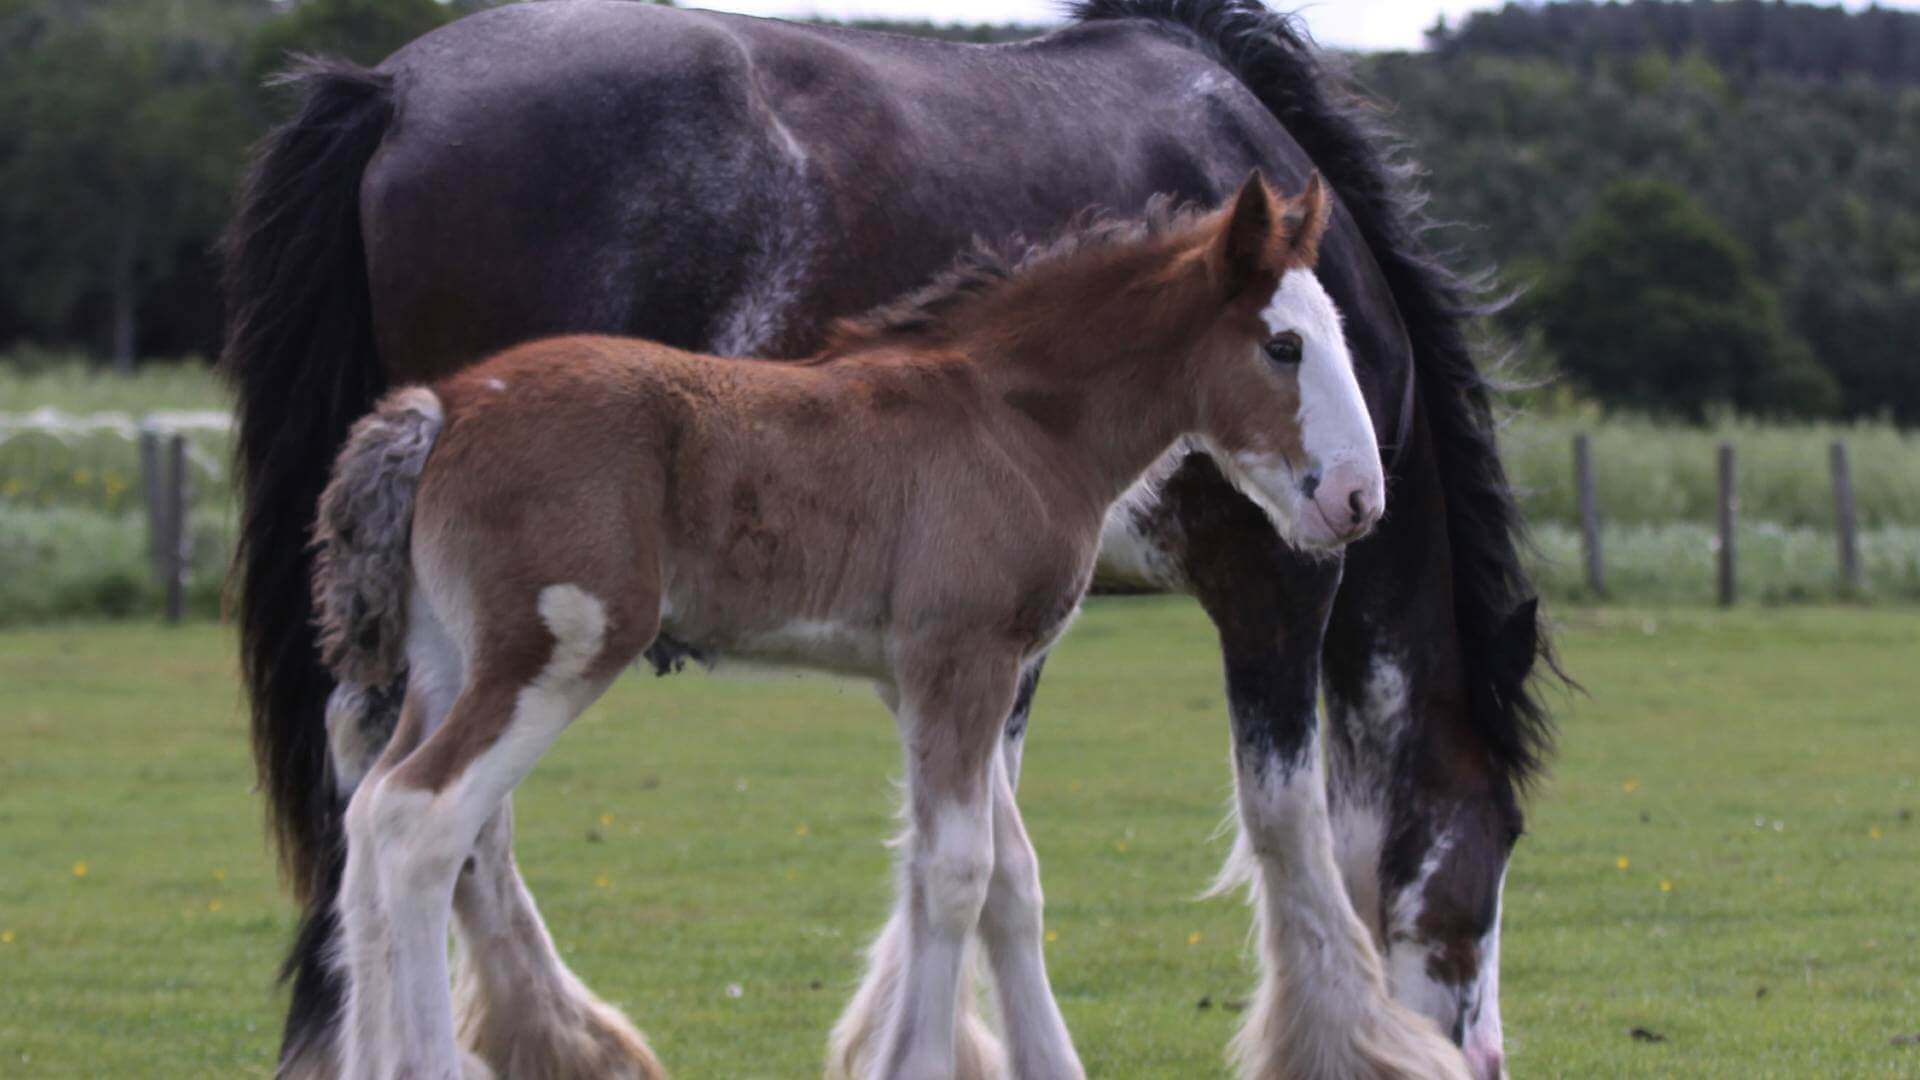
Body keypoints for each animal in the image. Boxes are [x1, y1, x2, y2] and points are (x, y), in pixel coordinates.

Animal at [314, 171, 1382, 1068]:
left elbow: (1006, 880)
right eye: (1283, 345)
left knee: (367, 813)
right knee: (421, 821)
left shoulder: (925, 679)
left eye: (1337, 333)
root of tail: (442, 409)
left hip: (447, 661)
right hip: (558, 648)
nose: (1359, 500)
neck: (1015, 421)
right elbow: (956, 874)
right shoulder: (966, 658)